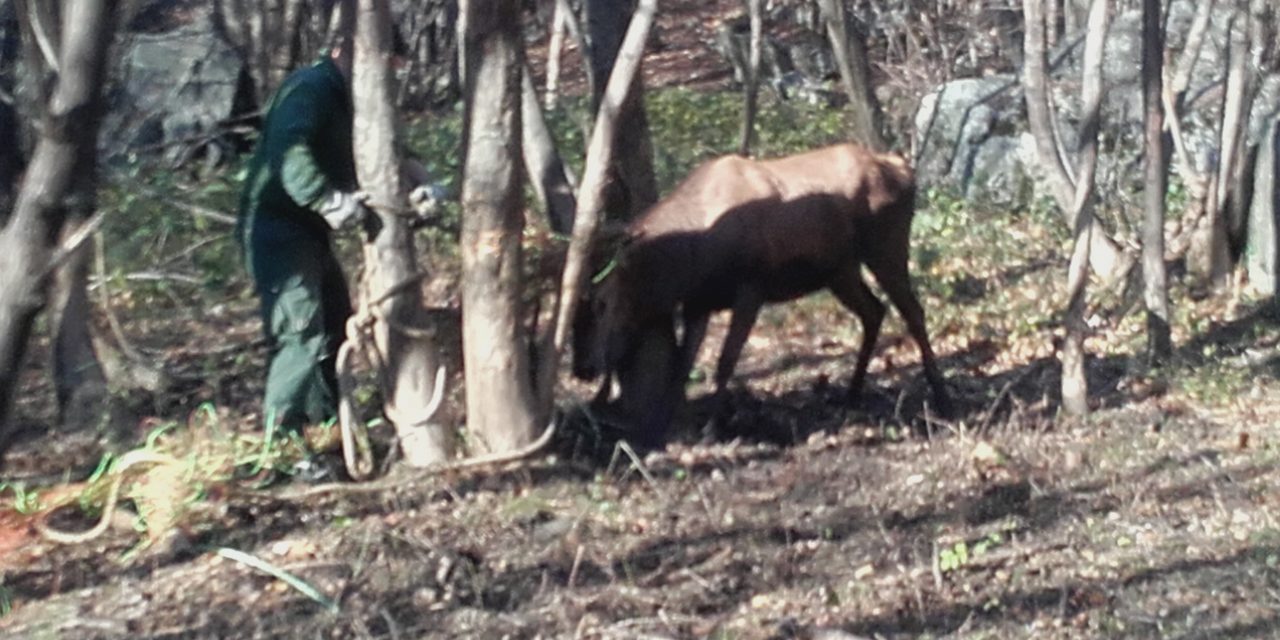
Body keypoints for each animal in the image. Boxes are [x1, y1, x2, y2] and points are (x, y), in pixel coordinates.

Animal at [576, 144, 947, 445]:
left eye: (602, 301)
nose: (584, 367)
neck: (692, 261)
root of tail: (905, 169)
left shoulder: (751, 288)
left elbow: (725, 362)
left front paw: (712, 428)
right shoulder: (698, 303)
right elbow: (682, 364)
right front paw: (664, 425)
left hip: (885, 247)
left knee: (913, 311)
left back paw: (941, 393)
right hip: (840, 270)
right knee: (874, 311)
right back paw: (853, 394)